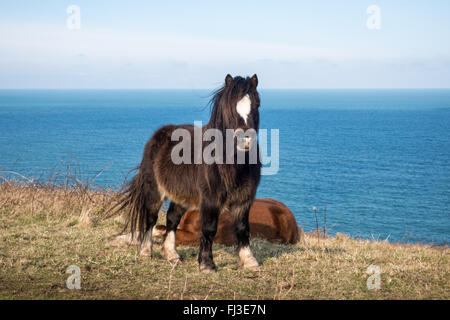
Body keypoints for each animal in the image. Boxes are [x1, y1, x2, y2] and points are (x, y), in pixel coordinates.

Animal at [111, 74, 262, 272]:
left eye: (257, 104)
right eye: (229, 106)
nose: (245, 140)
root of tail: (159, 135)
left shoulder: (245, 198)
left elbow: (243, 228)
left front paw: (249, 261)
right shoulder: (210, 199)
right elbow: (209, 228)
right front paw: (207, 264)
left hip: (182, 195)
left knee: (172, 218)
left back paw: (171, 254)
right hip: (155, 191)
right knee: (151, 218)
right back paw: (145, 251)